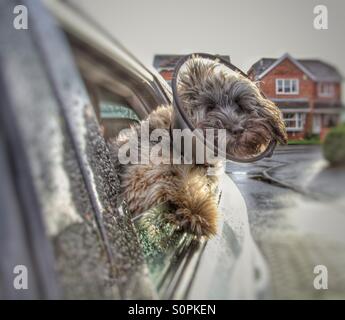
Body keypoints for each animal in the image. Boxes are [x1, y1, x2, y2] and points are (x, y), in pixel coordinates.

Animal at [110, 56, 284, 239]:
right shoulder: (142, 174)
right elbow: (178, 179)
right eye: (210, 107)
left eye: (239, 105)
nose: (237, 129)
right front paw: (199, 211)